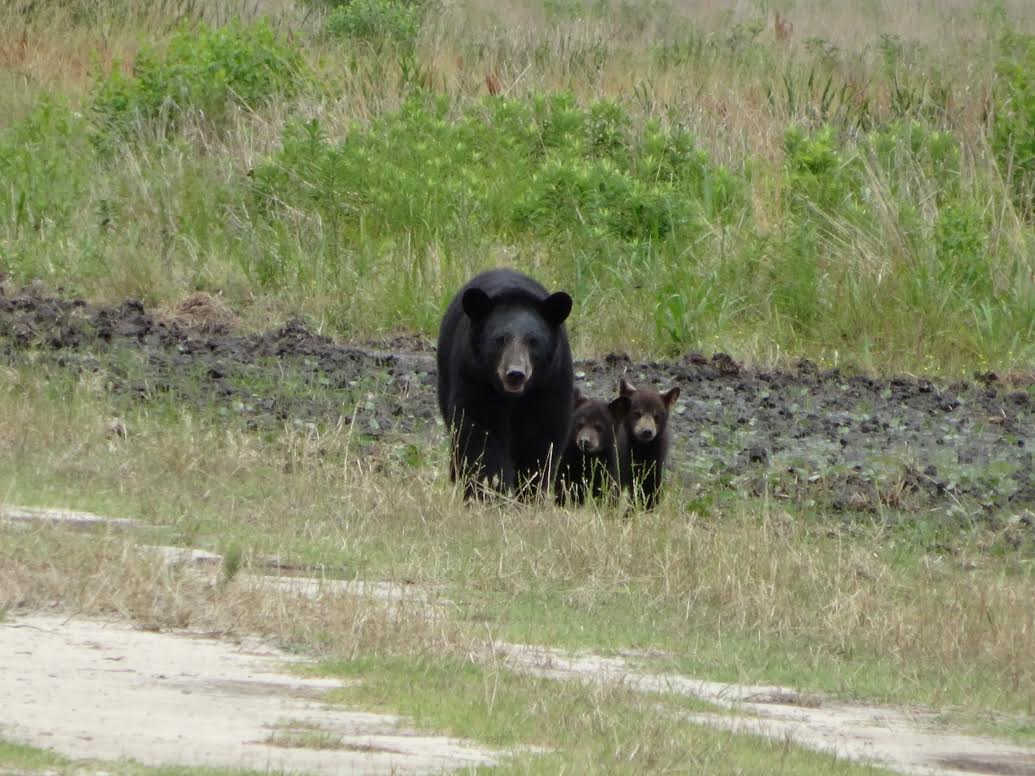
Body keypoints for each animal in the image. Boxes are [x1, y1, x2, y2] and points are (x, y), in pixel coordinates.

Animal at [437, 268, 574, 500]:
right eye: (499, 339)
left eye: (533, 341)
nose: (515, 374)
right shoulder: (475, 380)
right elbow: (481, 439)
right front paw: (488, 493)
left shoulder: (550, 385)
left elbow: (540, 442)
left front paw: (530, 492)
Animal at [616, 378, 680, 510]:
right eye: (637, 413)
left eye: (657, 416)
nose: (647, 431)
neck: (641, 448)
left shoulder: (655, 461)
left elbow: (649, 490)